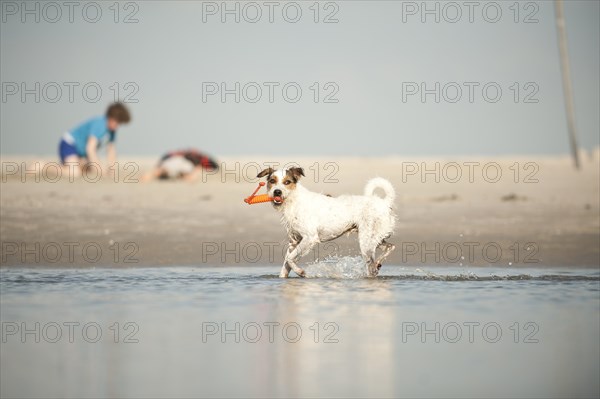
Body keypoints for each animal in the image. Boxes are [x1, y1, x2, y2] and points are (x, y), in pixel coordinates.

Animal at [255, 167, 396, 280]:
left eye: (287, 182)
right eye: (272, 181)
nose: (277, 192)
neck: (293, 201)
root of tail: (384, 203)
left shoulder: (309, 238)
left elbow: (290, 259)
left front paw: (301, 272)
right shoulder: (293, 242)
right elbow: (286, 263)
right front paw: (283, 278)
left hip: (366, 241)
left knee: (372, 265)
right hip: (375, 238)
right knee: (391, 246)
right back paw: (378, 263)